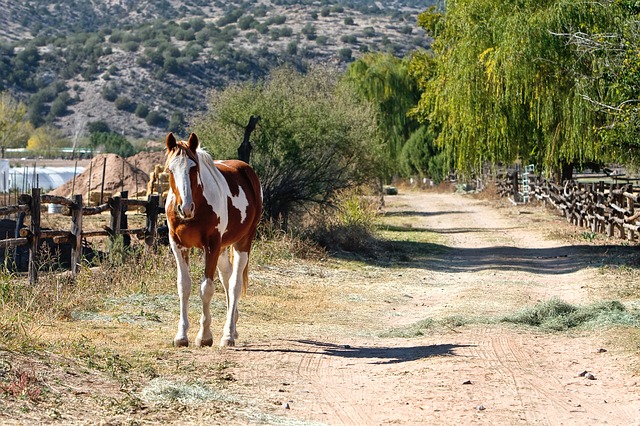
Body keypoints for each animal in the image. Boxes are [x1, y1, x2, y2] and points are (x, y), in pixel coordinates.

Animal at [164, 132, 262, 347]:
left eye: (194, 168)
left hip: (242, 243)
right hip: (224, 248)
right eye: (170, 169)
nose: (185, 208)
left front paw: (204, 336)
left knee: (234, 284)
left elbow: (206, 288)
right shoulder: (178, 245)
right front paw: (181, 335)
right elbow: (184, 286)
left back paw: (228, 335)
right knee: (227, 278)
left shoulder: (211, 246)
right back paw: (233, 327)